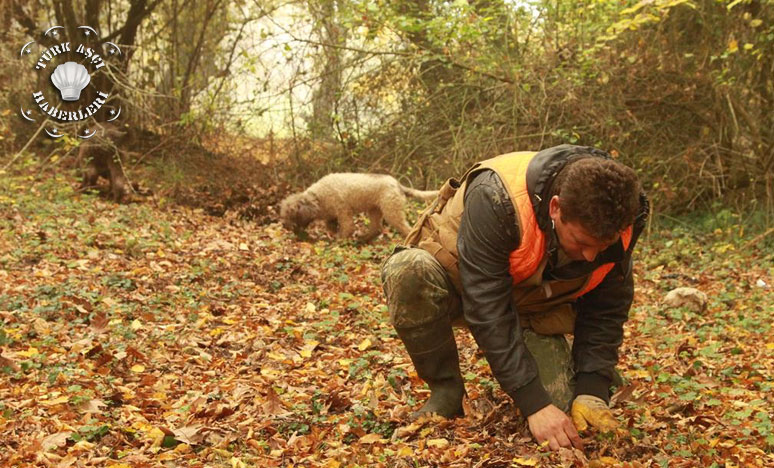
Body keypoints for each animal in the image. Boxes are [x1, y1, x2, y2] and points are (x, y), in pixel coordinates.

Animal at [282, 174, 440, 243]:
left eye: (290, 214)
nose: (284, 226)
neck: (317, 197)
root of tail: (398, 185)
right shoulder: (331, 216)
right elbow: (331, 228)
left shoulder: (344, 212)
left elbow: (347, 229)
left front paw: (339, 241)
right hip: (374, 210)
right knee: (376, 229)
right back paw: (363, 239)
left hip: (391, 211)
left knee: (406, 228)